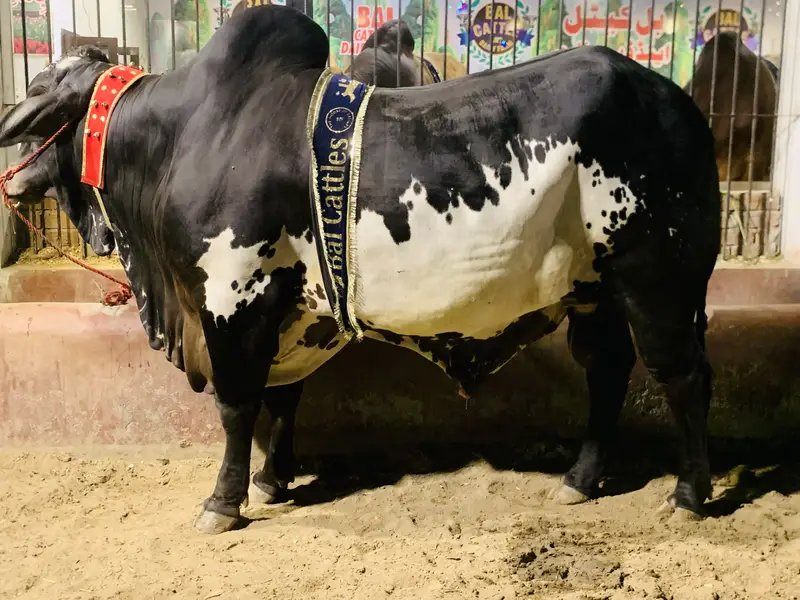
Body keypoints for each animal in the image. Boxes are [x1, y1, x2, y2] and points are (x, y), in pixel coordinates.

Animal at [0, 5, 720, 535]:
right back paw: (579, 481)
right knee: (607, 371)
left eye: (36, 92)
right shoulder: (288, 313)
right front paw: (273, 480)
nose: (10, 177)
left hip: (657, 282)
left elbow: (238, 407)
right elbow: (282, 399)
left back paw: (689, 495)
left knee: (683, 378)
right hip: (595, 291)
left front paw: (223, 503)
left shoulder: (233, 299)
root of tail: (677, 101)